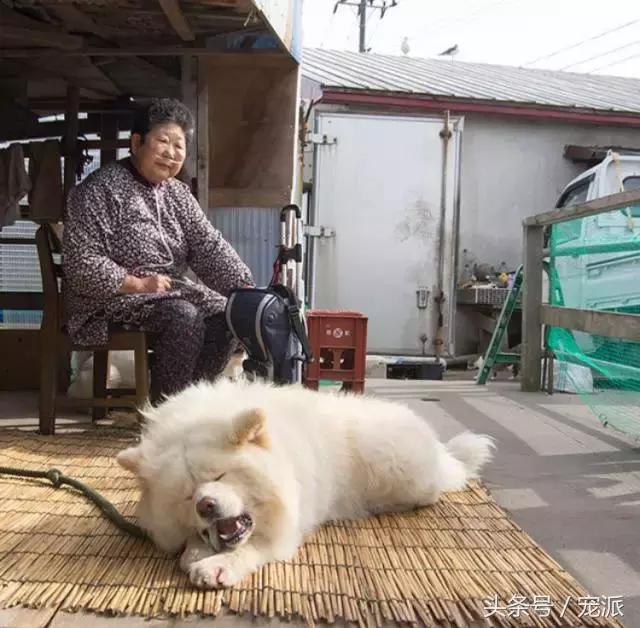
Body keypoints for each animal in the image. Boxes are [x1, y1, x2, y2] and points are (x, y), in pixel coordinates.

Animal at [116, 378, 496, 588]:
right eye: (186, 496)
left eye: (219, 476)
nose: (205, 505)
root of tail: (438, 449)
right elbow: (195, 542)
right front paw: (196, 552)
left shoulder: (287, 525)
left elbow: (252, 548)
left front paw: (218, 566)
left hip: (399, 471)